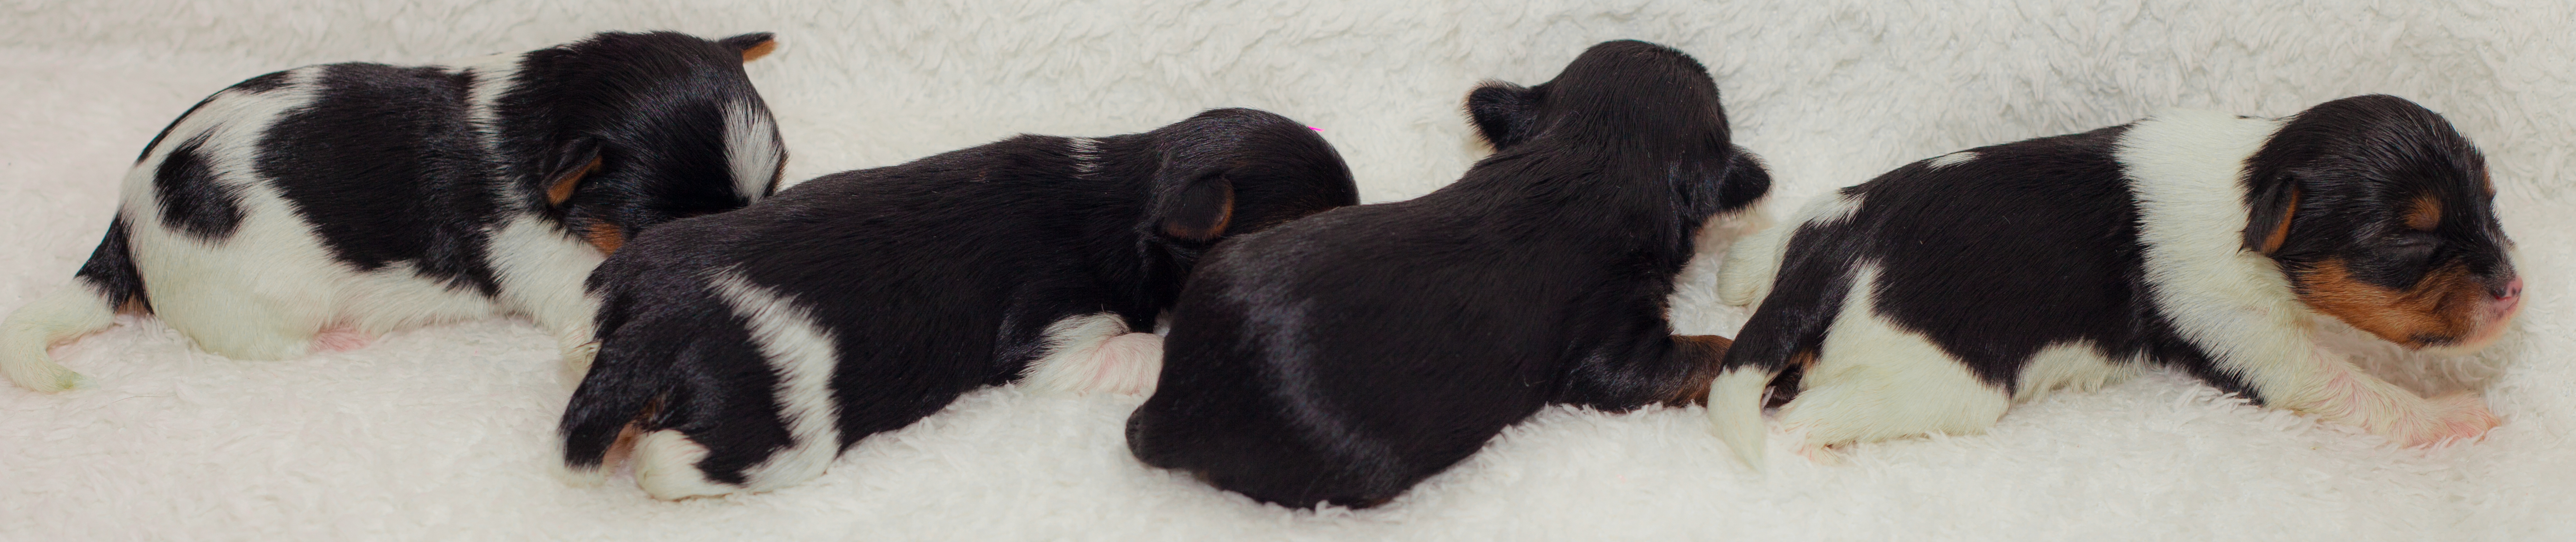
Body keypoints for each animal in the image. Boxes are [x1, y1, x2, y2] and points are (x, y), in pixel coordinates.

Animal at [0, 31, 785, 392]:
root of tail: (127, 228)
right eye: (667, 224)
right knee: (258, 346)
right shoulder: (546, 266)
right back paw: (337, 345)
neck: (535, 122)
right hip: (252, 299)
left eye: (771, 194)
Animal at [555, 107, 1359, 499]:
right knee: (674, 463)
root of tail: (655, 328)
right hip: (774, 435)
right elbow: (1144, 345)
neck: (1134, 193)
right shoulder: (1056, 339)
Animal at [1706, 95, 2520, 468]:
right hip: (1937, 383)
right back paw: (1811, 452)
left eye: (2490, 202)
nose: (2513, 291)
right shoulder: (2249, 342)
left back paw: (1744, 268)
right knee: (1803, 417)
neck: (2248, 192)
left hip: (1815, 219)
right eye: (2406, 236)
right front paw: (2450, 416)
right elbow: (2355, 388)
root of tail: (1833, 257)